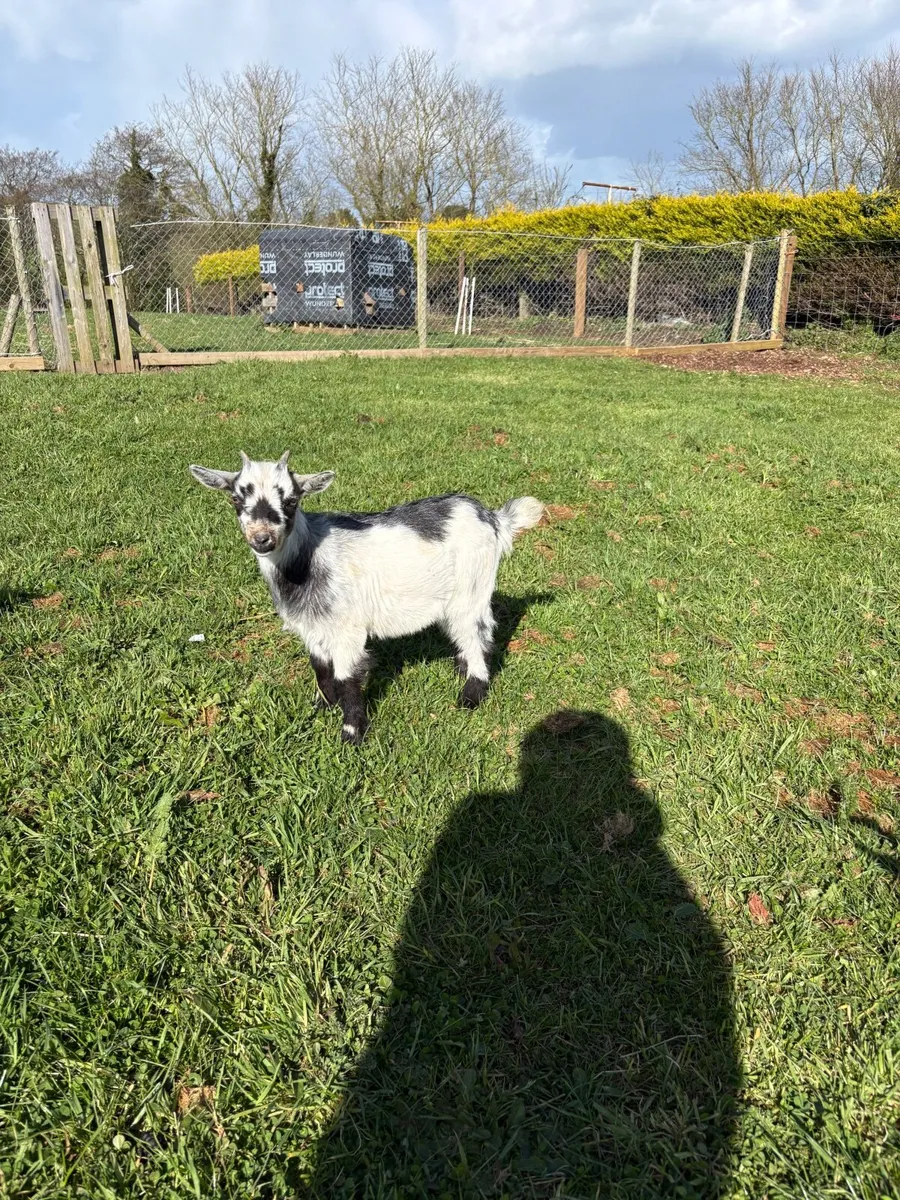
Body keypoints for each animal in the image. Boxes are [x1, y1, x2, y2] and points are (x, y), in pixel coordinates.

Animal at [189, 452, 544, 744]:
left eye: (291, 500)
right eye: (236, 498)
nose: (262, 538)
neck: (309, 559)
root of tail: (492, 517)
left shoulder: (347, 629)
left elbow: (347, 677)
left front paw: (351, 733)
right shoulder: (312, 627)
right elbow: (320, 667)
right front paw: (322, 705)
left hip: (472, 586)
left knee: (477, 631)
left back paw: (472, 693)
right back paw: (462, 667)